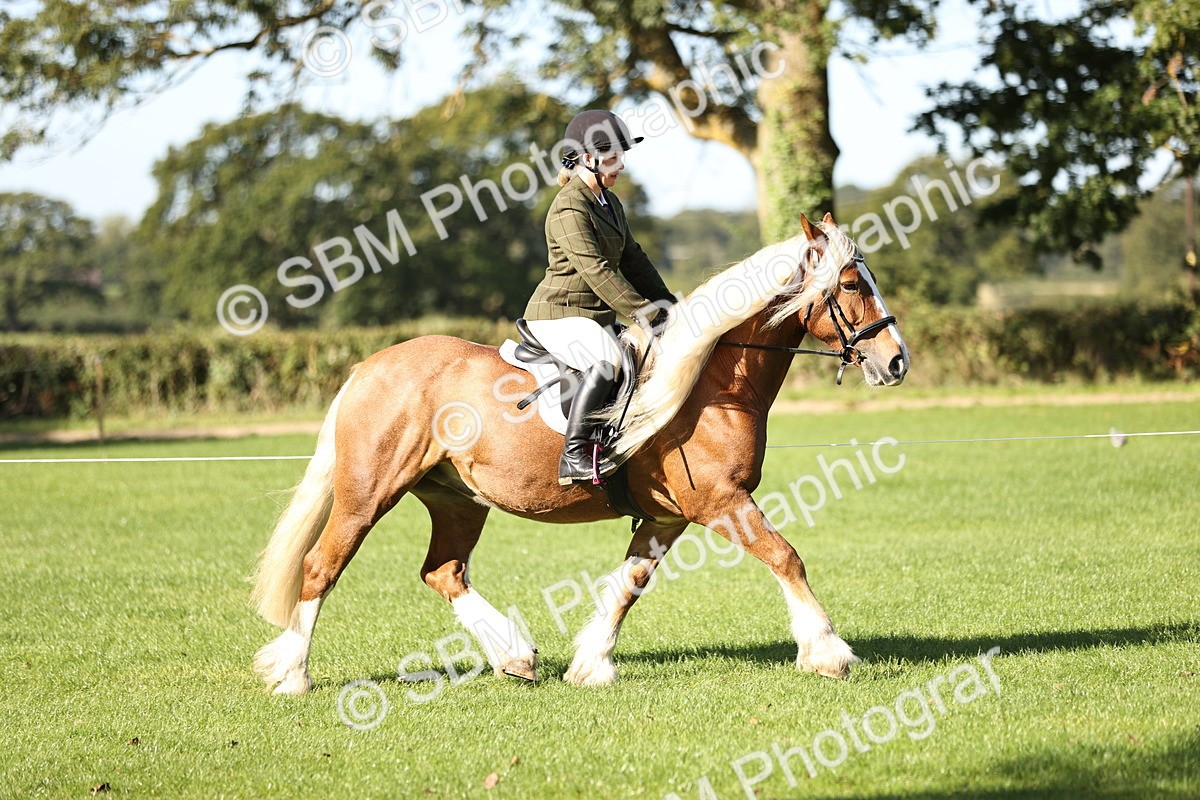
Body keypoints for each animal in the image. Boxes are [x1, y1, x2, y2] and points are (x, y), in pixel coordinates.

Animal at [251, 212, 909, 694]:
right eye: (852, 285)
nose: (897, 362)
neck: (709, 381)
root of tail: (368, 366)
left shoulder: (667, 516)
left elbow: (629, 584)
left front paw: (590, 664)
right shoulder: (721, 502)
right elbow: (785, 556)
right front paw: (827, 652)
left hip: (458, 499)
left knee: (443, 572)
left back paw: (514, 657)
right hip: (367, 495)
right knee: (321, 567)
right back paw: (293, 676)